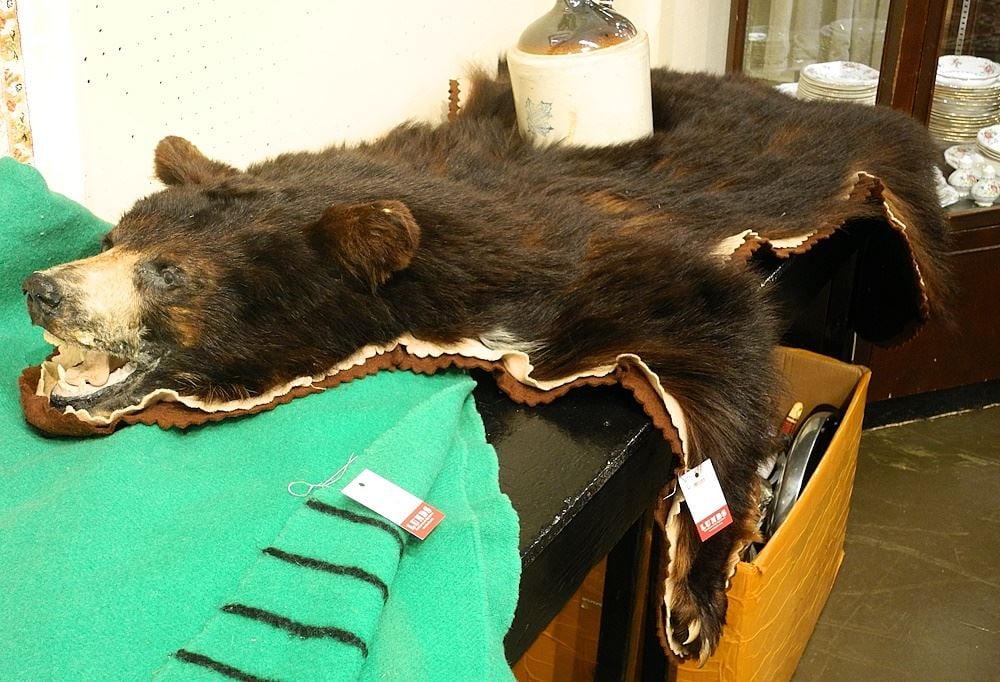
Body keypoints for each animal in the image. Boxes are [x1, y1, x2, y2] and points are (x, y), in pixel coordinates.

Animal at [21, 67, 949, 663]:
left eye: (167, 272)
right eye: (115, 236)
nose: (41, 289)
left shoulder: (580, 256)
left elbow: (720, 324)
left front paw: (694, 597)